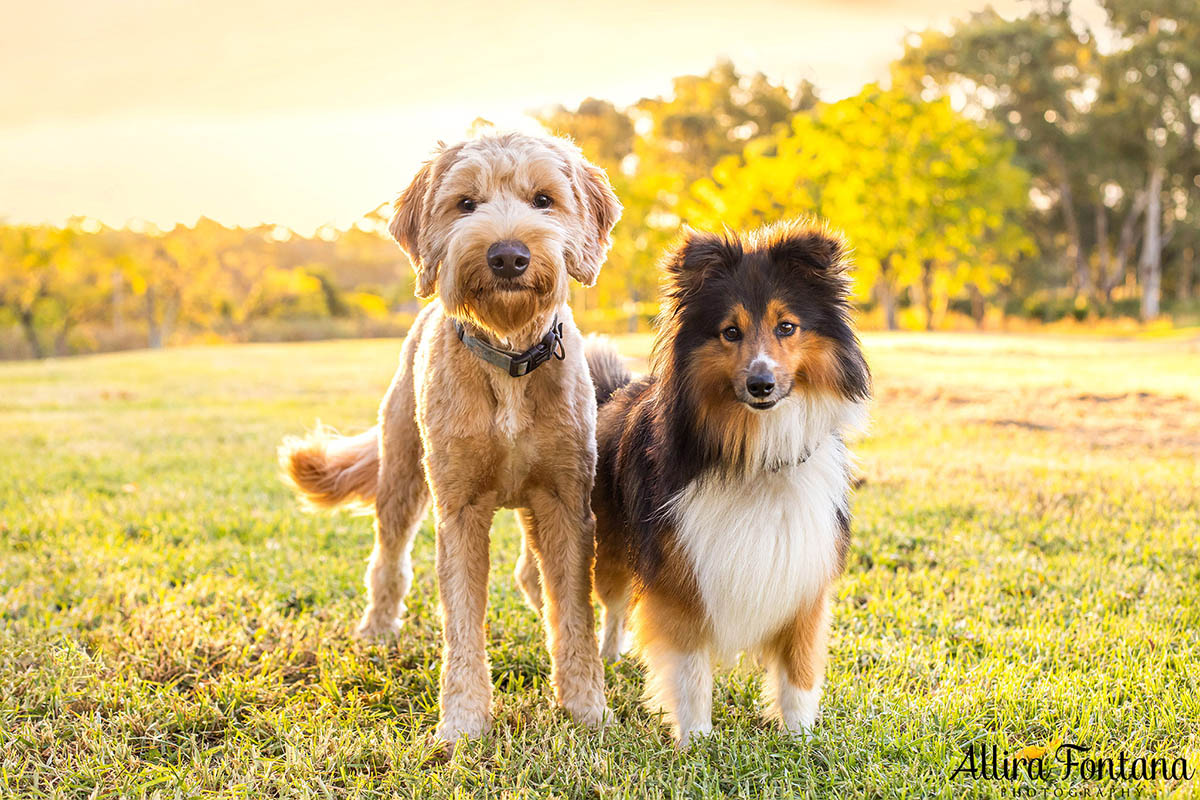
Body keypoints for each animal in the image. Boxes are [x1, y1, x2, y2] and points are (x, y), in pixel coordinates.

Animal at [277, 131, 624, 743]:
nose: (507, 255)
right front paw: (463, 720)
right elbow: (461, 620)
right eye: (466, 204)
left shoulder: (566, 502)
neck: (509, 360)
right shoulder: (459, 508)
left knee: (532, 576)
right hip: (401, 474)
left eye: (543, 200)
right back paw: (377, 629)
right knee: (388, 561)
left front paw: (586, 708)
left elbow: (575, 614)